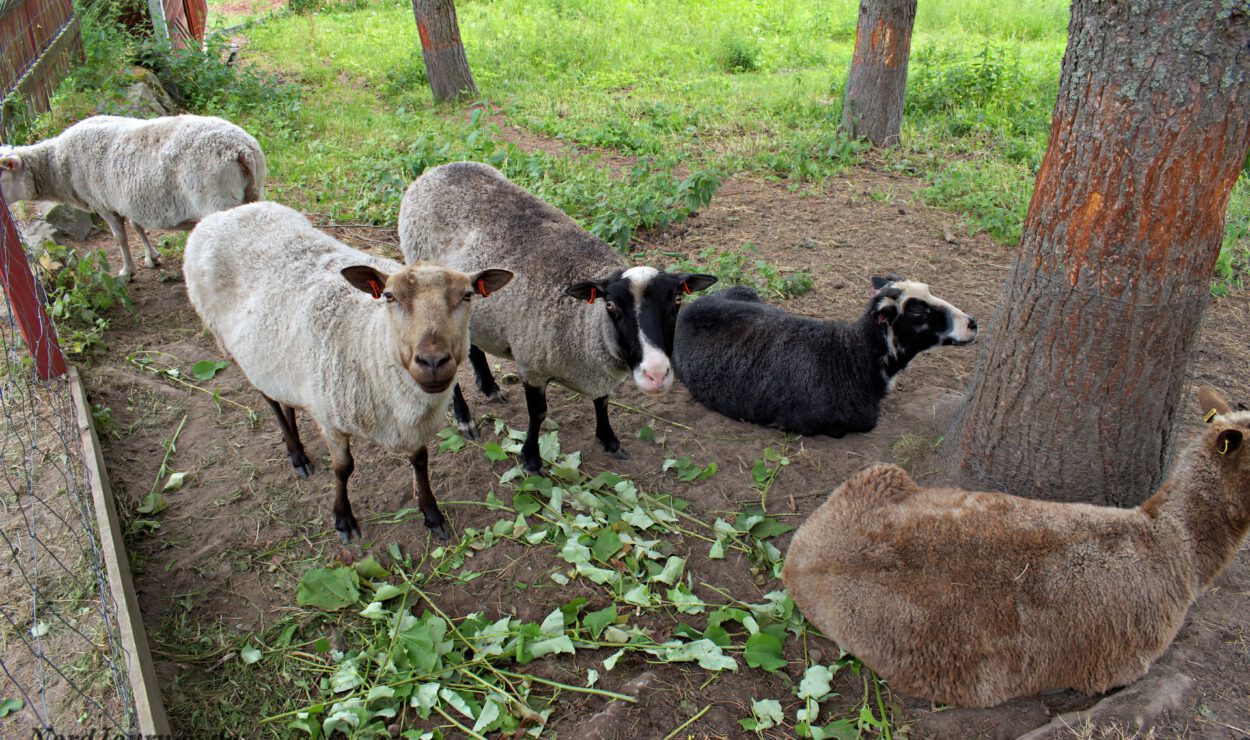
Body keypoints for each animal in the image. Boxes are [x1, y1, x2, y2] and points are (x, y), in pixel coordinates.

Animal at [1, 114, 266, 278]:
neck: (57, 166)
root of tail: (241, 149)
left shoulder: (103, 204)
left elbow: (120, 238)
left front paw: (127, 271)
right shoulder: (128, 201)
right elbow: (138, 228)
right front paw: (152, 257)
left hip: (217, 200)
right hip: (253, 190)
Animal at [182, 202, 512, 542]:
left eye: (468, 295)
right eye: (389, 296)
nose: (433, 362)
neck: (370, 338)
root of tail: (227, 213)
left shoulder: (410, 424)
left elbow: (420, 462)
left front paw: (432, 516)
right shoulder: (331, 419)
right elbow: (343, 469)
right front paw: (343, 519)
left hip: (278, 360)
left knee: (284, 399)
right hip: (235, 348)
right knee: (270, 401)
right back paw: (297, 454)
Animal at [400, 162, 715, 475]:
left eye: (677, 301)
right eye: (611, 305)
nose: (656, 374)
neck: (584, 322)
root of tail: (438, 169)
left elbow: (602, 401)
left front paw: (609, 440)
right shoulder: (533, 365)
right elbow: (538, 414)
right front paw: (531, 459)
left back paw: (489, 386)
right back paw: (464, 418)